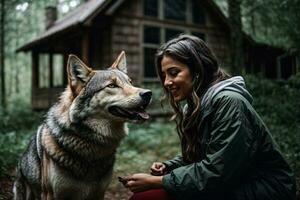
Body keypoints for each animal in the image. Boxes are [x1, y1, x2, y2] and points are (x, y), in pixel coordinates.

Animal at [12, 52, 151, 200]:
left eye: (130, 82)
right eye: (112, 85)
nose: (148, 93)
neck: (89, 144)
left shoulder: (99, 193)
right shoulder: (51, 195)